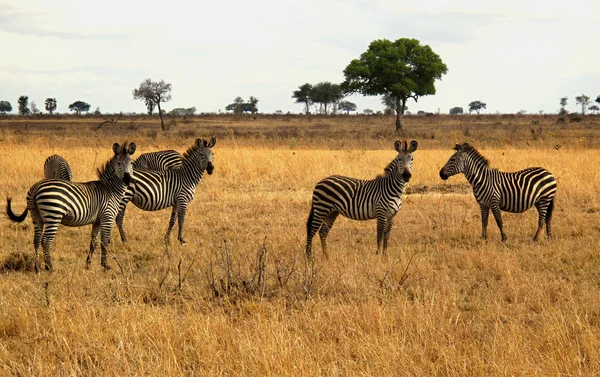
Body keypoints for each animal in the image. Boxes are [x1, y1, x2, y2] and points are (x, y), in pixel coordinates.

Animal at [4, 141, 136, 270]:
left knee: (36, 239)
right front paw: (105, 265)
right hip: (53, 215)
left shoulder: (98, 220)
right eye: (119, 163)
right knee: (45, 240)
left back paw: (37, 267)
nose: (127, 179)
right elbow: (105, 241)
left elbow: (93, 242)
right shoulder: (107, 217)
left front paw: (88, 264)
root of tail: (36, 187)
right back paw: (50, 267)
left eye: (131, 163)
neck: (110, 189)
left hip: (36, 215)